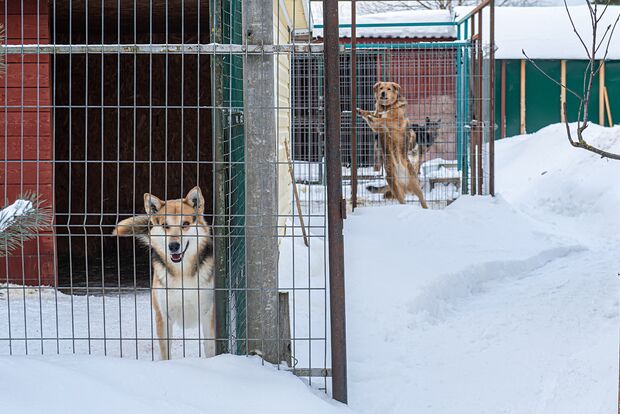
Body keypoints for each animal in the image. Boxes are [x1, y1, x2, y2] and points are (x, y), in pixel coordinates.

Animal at [112, 188, 217, 360]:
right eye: (164, 225)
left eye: (185, 224)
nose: (173, 246)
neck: (182, 273)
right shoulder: (163, 316)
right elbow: (165, 352)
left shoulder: (209, 314)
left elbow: (211, 348)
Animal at [356, 81, 428, 209]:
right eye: (381, 88)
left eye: (389, 89)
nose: (383, 93)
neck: (387, 107)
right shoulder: (377, 128)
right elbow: (373, 116)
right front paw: (362, 112)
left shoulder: (394, 122)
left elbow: (384, 120)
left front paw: (372, 117)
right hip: (394, 185)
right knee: (402, 201)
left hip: (415, 184)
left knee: (422, 200)